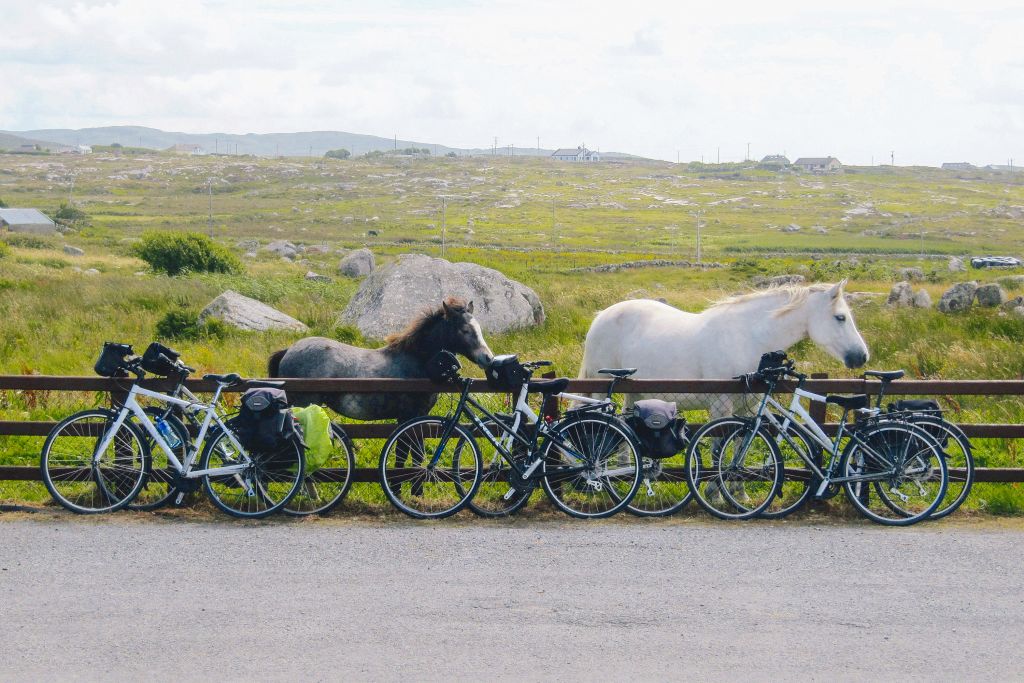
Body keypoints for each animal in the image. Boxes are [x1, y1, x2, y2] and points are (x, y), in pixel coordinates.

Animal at [578, 281, 869, 416]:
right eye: (840, 317)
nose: (862, 356)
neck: (749, 337)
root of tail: (601, 316)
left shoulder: (749, 407)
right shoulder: (721, 405)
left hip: (633, 392)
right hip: (599, 388)